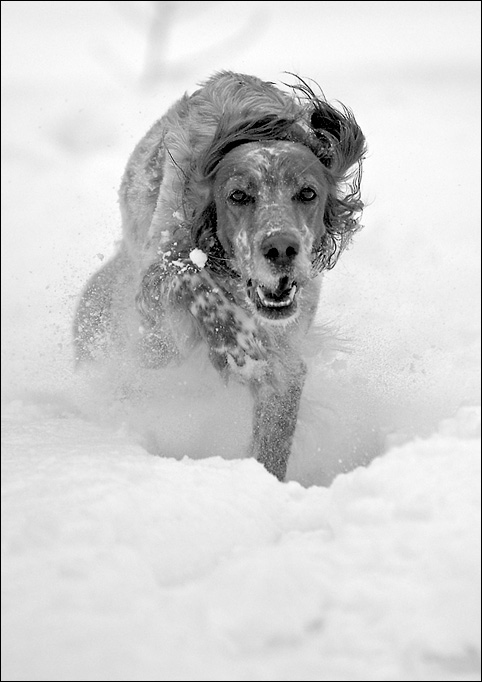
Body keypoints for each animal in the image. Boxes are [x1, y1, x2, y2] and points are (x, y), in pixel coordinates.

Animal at [73, 71, 364, 478]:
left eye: (308, 193)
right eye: (238, 196)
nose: (281, 249)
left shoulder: (286, 362)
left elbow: (273, 437)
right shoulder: (156, 291)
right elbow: (190, 281)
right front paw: (235, 347)